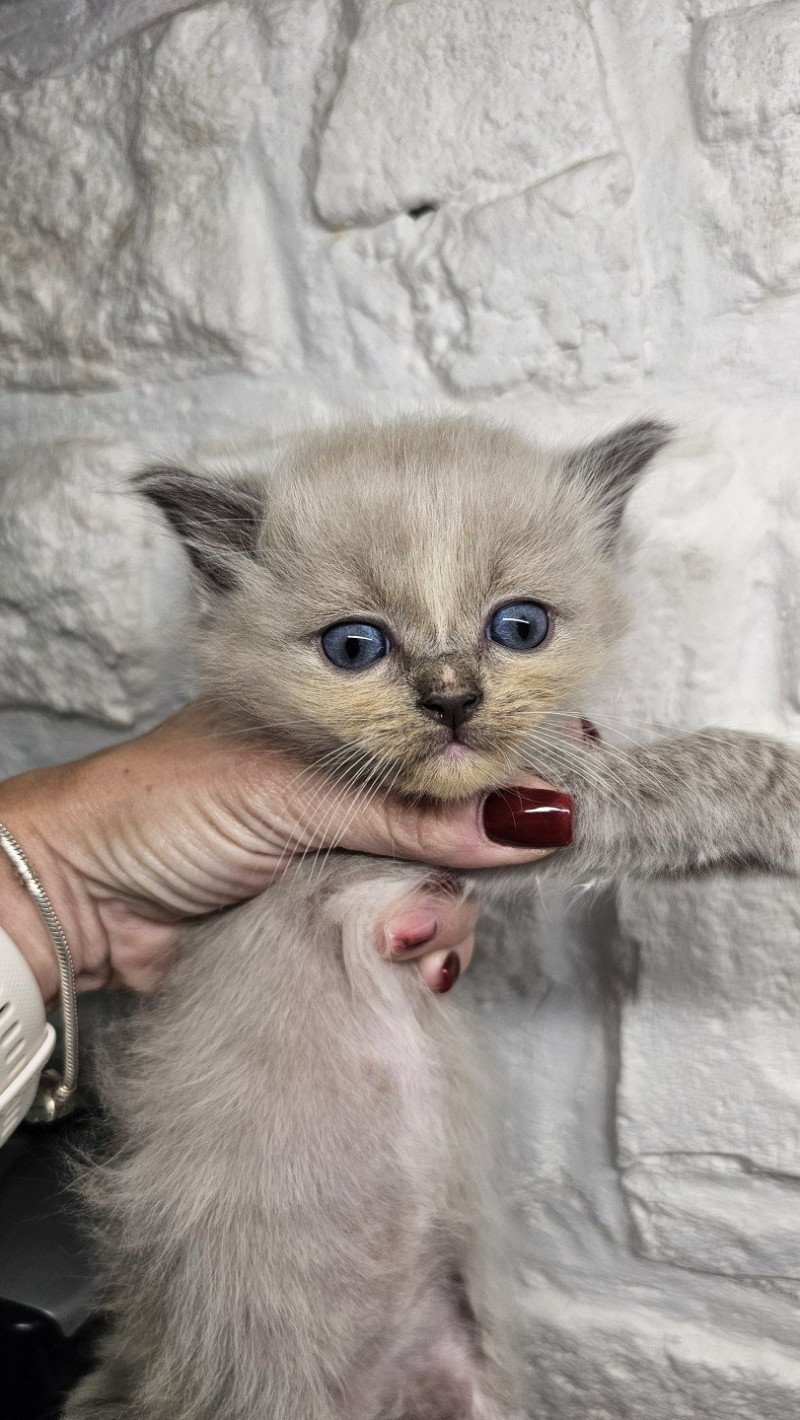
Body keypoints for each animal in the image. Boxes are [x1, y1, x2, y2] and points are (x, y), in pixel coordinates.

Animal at [65, 414, 800, 1414]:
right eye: (354, 647)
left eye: (519, 628)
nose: (452, 698)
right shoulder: (425, 840)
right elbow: (684, 774)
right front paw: (785, 790)